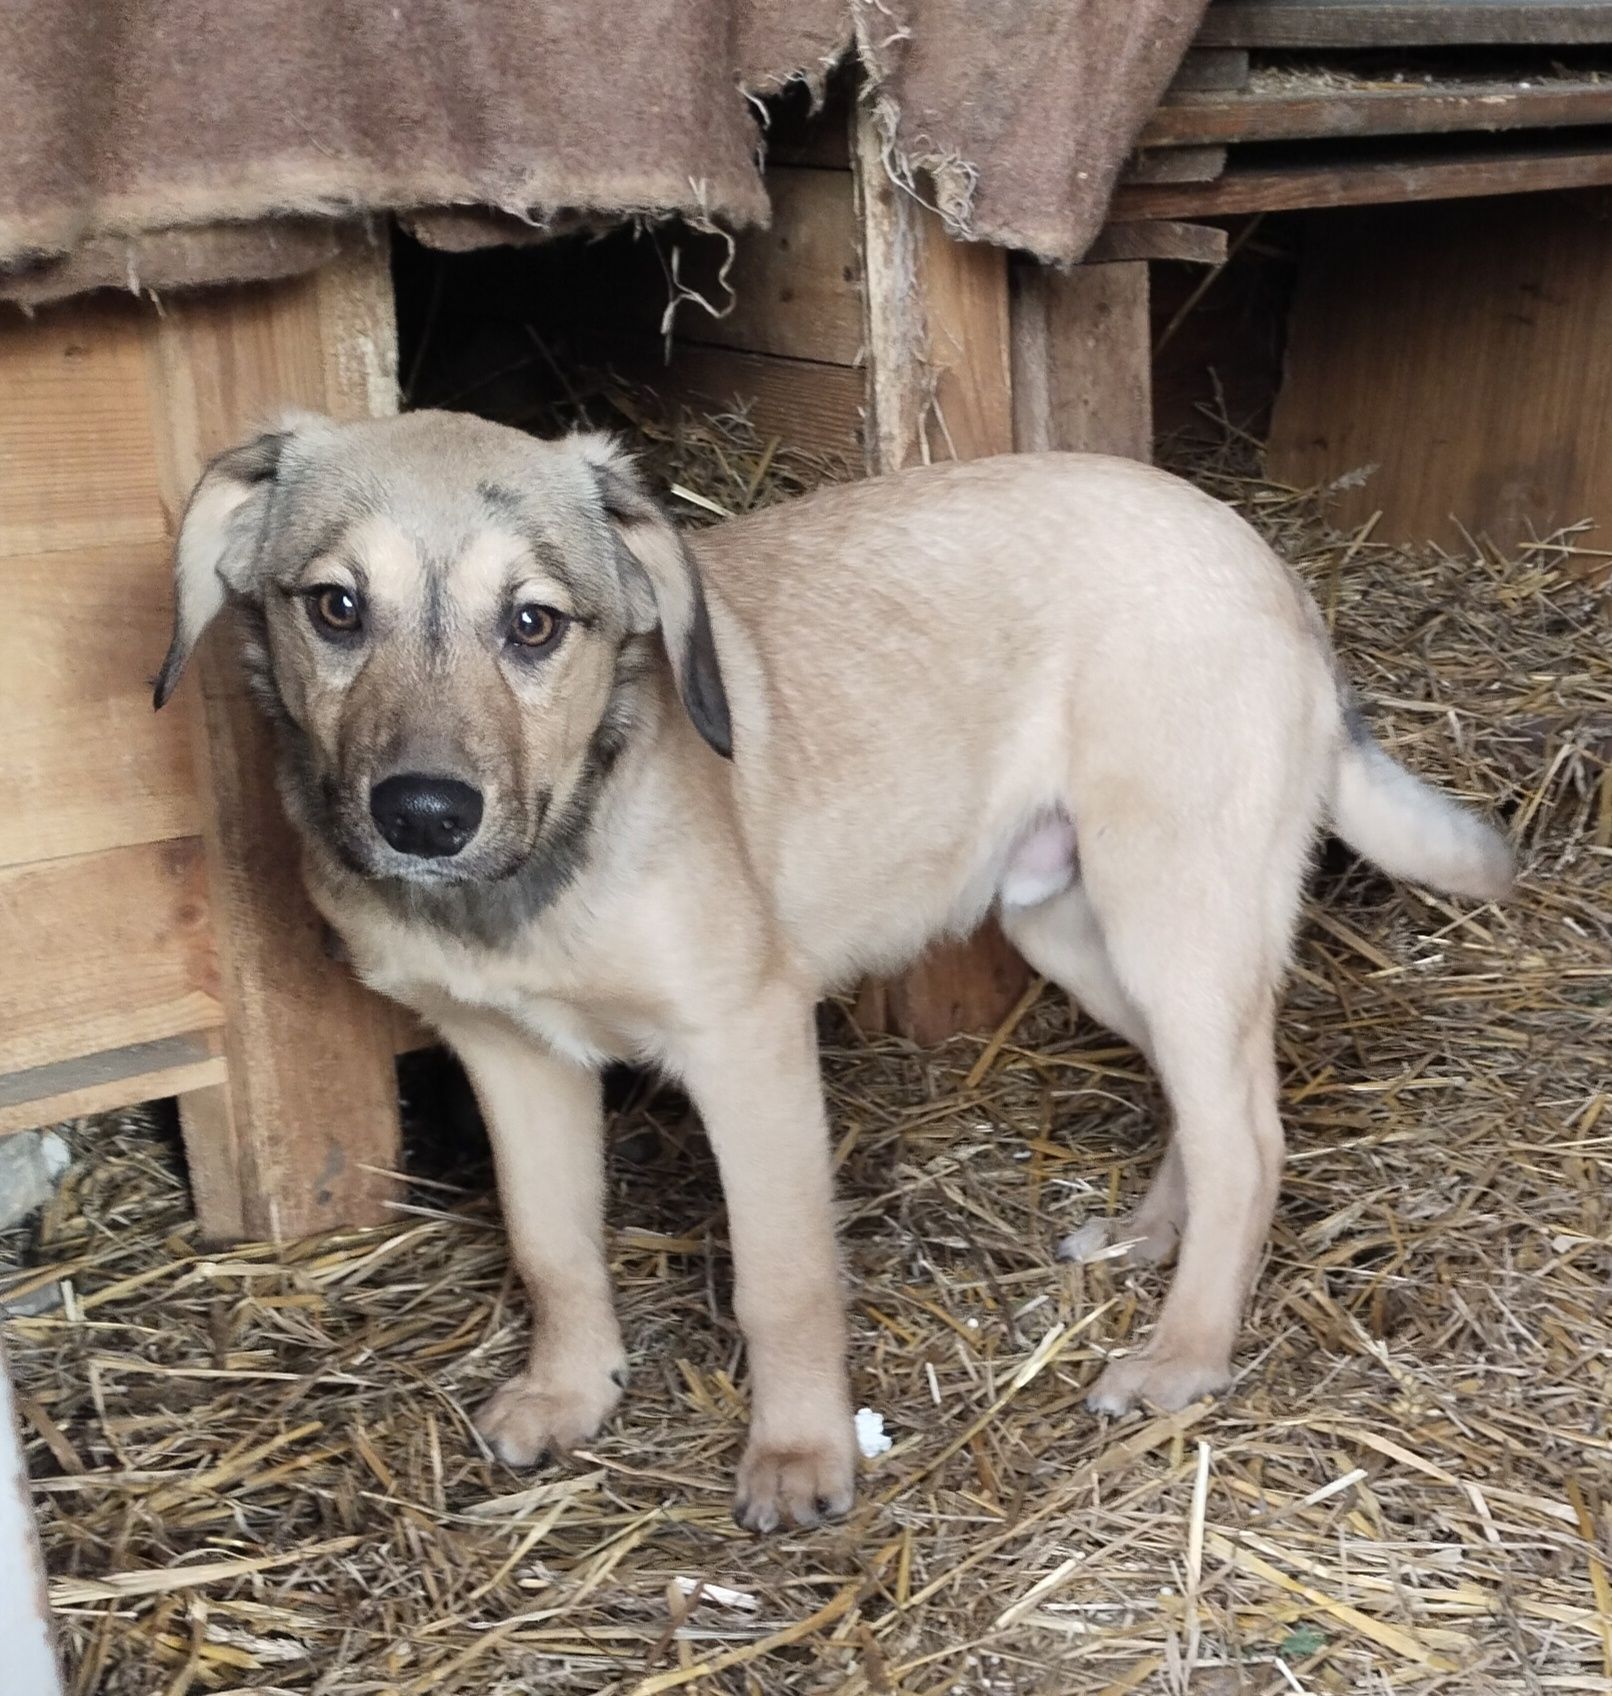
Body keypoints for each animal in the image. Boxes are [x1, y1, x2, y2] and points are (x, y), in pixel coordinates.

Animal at [154, 413, 1513, 1539]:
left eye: (532, 623)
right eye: (335, 608)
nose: (424, 817)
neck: (544, 860)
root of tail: (1265, 559)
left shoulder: (747, 1043)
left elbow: (784, 1278)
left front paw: (801, 1456)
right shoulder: (513, 1057)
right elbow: (552, 1246)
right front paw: (568, 1391)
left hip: (1172, 902)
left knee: (1253, 1134)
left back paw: (1184, 1350)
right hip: (1073, 924)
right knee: (1212, 1100)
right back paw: (1150, 1235)